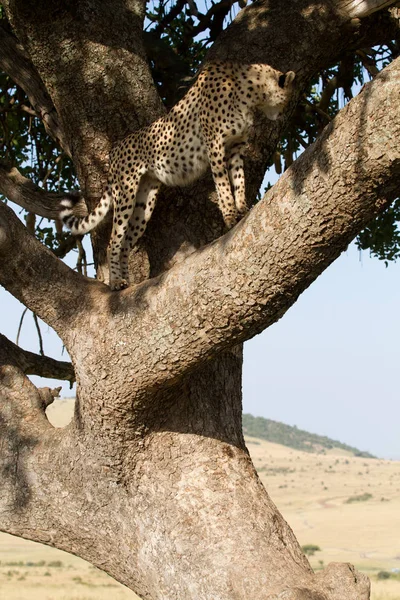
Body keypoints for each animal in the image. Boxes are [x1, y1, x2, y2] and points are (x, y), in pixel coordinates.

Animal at [61, 62, 296, 290]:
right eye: (287, 100)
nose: (282, 114)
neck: (250, 92)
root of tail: (115, 148)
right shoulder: (215, 145)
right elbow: (223, 186)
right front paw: (230, 217)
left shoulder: (235, 149)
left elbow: (239, 181)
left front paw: (243, 209)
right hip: (126, 193)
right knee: (114, 242)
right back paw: (116, 283)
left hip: (145, 202)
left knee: (127, 242)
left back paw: (129, 283)